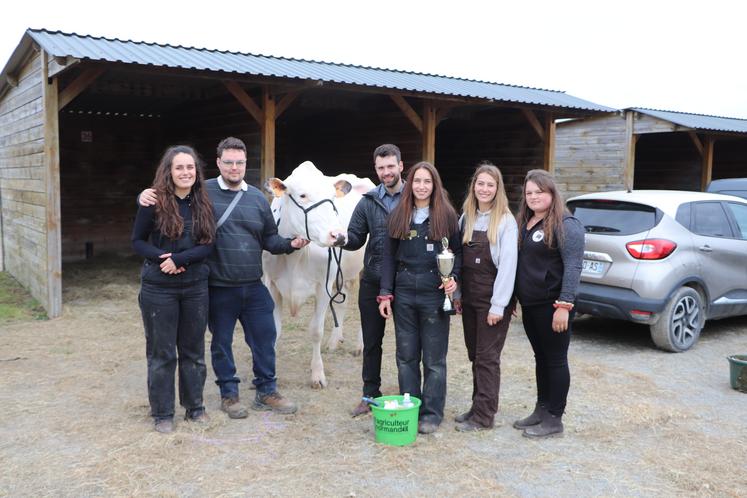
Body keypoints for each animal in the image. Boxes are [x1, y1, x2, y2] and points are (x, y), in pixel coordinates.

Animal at [262, 161, 374, 388]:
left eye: (332, 197)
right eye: (302, 195)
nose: (339, 236)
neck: (295, 257)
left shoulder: (323, 286)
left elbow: (316, 331)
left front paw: (317, 375)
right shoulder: (271, 285)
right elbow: (274, 330)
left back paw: (360, 346)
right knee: (342, 300)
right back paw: (334, 341)